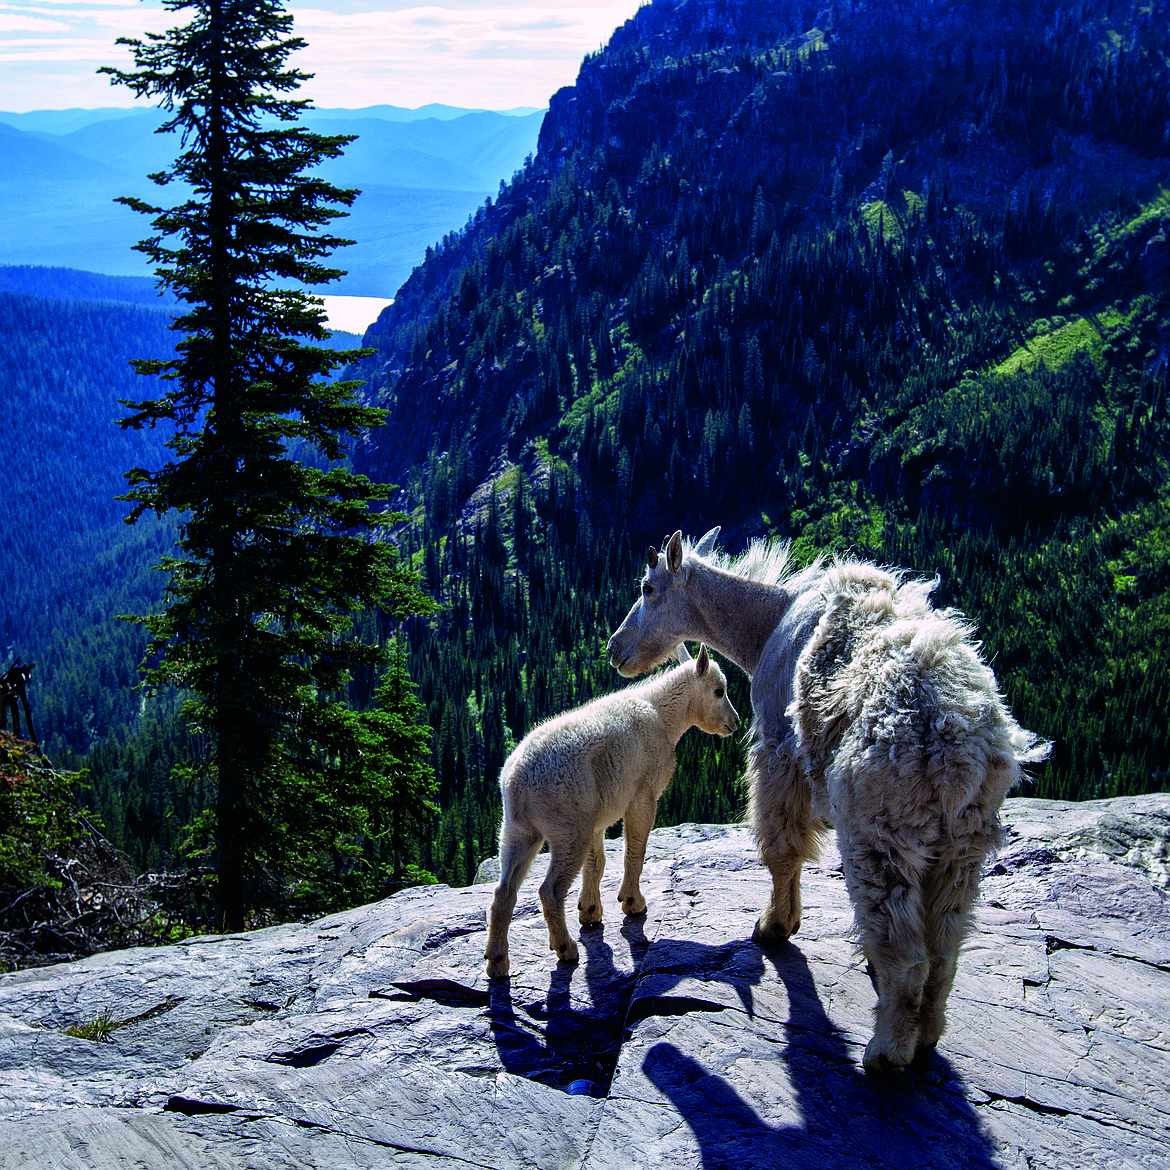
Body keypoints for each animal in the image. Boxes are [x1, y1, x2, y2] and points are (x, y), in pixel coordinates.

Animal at [608, 528, 1048, 1071]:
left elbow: (782, 847)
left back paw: (885, 1053)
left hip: (881, 827)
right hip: (964, 841)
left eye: (647, 588)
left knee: (905, 949)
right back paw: (925, 1035)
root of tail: (959, 750)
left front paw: (774, 926)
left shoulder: (777, 749)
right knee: (945, 946)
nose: (615, 649)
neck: (764, 626)